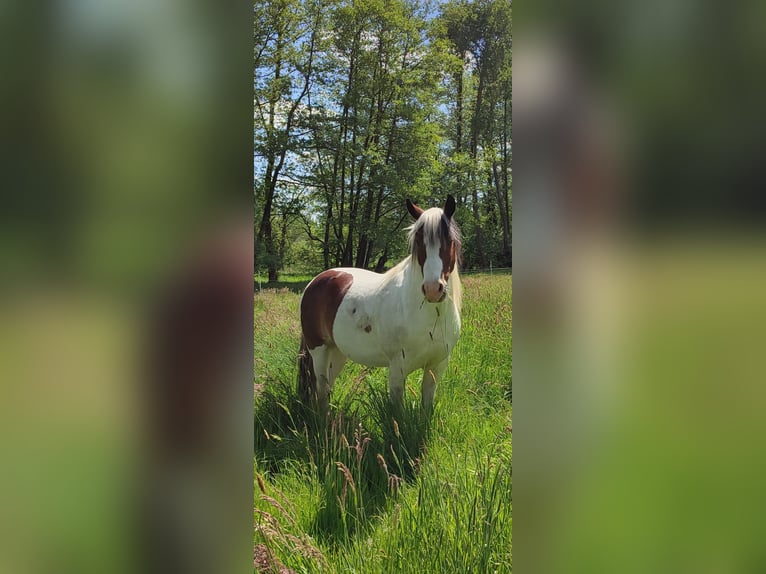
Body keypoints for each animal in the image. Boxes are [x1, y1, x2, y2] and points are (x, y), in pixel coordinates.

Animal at [296, 196, 462, 416]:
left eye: (449, 241)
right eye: (419, 242)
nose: (433, 289)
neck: (429, 316)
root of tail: (316, 280)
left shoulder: (436, 365)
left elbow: (426, 403)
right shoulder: (397, 367)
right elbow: (397, 412)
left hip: (337, 352)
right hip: (319, 350)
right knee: (321, 389)